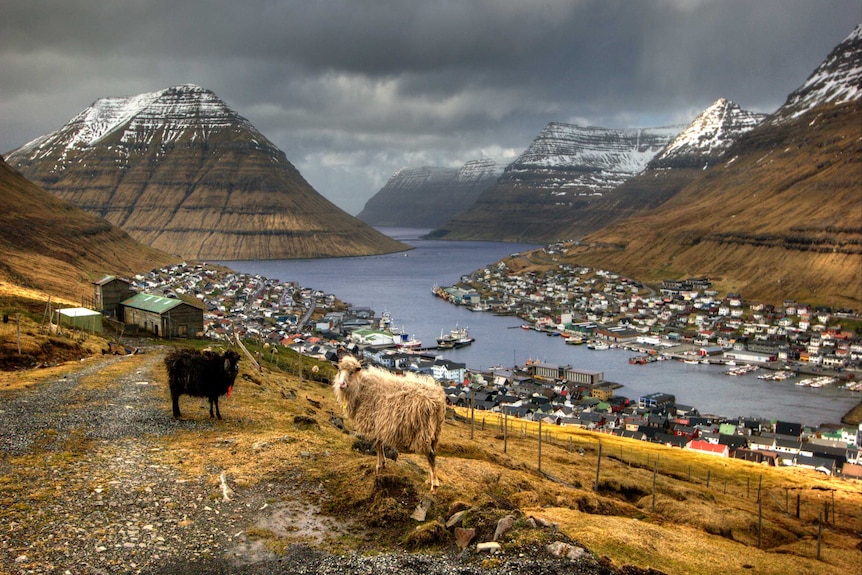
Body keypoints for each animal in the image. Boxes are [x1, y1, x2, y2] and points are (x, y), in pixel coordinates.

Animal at [334, 356, 448, 496]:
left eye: (351, 372)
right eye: (339, 370)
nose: (341, 384)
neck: (362, 388)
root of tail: (437, 400)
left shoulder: (374, 422)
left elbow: (377, 445)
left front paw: (378, 467)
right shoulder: (379, 424)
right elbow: (380, 444)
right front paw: (383, 463)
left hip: (425, 430)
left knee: (431, 455)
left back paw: (434, 486)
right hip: (436, 431)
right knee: (432, 453)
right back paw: (429, 480)